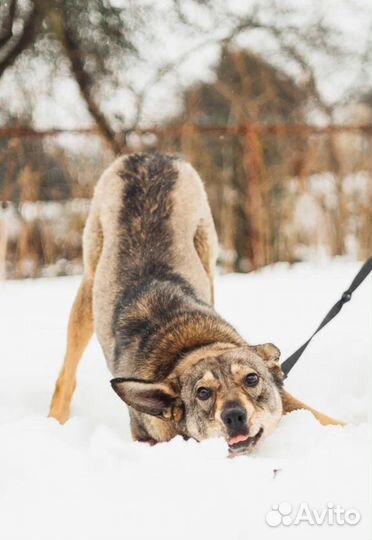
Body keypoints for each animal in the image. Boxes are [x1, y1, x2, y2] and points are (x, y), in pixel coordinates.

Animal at [49, 152, 342, 456]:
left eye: (252, 379)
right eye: (203, 392)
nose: (234, 415)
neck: (190, 346)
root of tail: (149, 156)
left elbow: (323, 418)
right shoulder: (145, 437)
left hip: (206, 258)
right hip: (88, 287)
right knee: (66, 377)